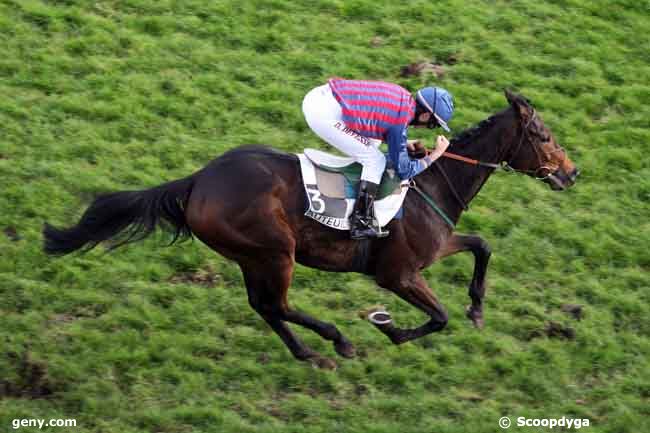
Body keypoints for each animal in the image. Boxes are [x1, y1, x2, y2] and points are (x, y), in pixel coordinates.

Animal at [43, 90, 576, 368]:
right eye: (544, 135)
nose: (572, 173)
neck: (429, 184)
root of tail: (198, 180)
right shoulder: (398, 274)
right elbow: (438, 317)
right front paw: (390, 329)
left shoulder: (438, 245)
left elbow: (481, 247)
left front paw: (478, 309)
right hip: (274, 251)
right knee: (277, 304)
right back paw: (337, 341)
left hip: (251, 256)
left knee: (264, 307)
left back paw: (307, 353)